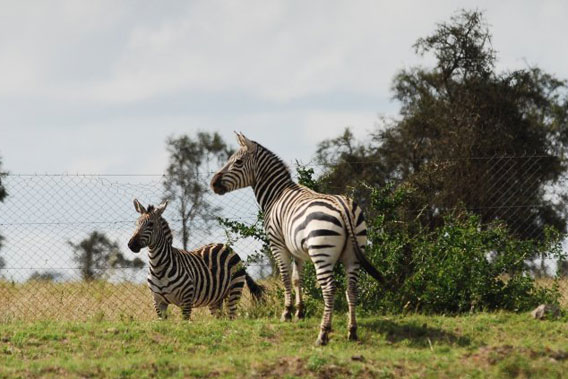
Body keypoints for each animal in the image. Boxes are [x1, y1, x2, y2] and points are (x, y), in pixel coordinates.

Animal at [126, 199, 264, 320]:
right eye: (137, 223)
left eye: (151, 224)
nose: (131, 244)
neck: (158, 267)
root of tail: (226, 246)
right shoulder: (158, 302)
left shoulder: (186, 301)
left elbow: (184, 325)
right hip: (215, 299)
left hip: (234, 291)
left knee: (232, 317)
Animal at [212, 134, 386, 348]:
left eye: (237, 162)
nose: (213, 183)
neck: (276, 195)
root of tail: (343, 206)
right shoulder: (297, 250)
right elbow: (297, 279)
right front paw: (299, 312)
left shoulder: (277, 244)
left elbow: (286, 278)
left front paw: (286, 313)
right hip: (352, 255)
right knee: (352, 289)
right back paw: (352, 331)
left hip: (322, 252)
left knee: (329, 289)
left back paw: (323, 334)